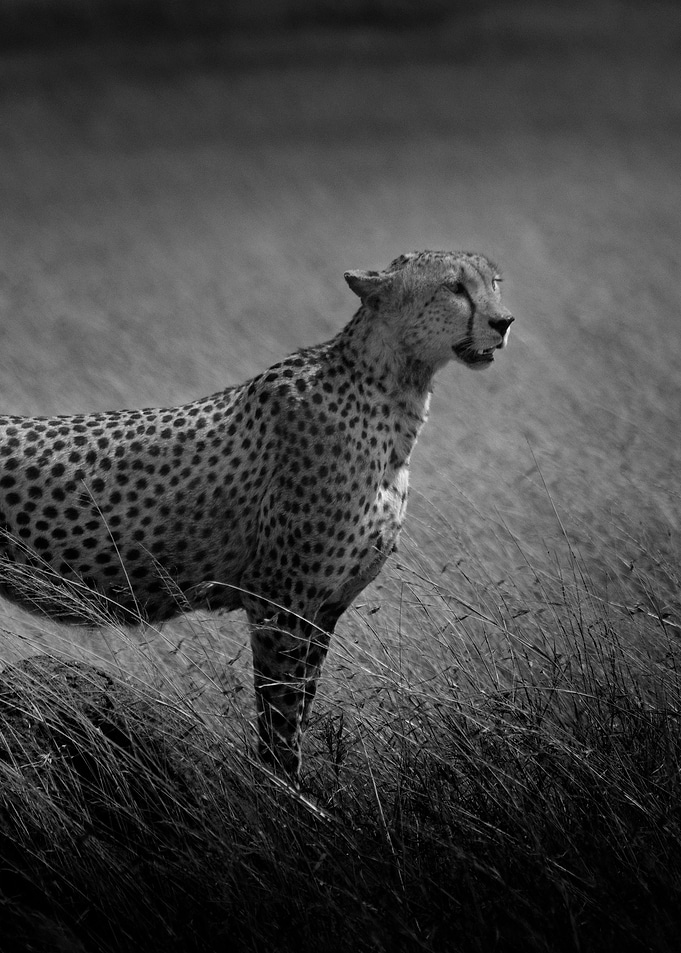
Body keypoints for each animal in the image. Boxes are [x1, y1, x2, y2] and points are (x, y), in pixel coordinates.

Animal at [0, 249, 513, 779]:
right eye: (454, 287)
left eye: (494, 283)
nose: (504, 322)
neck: (392, 389)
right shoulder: (278, 599)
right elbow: (280, 718)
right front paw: (284, 791)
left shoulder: (325, 607)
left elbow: (301, 704)